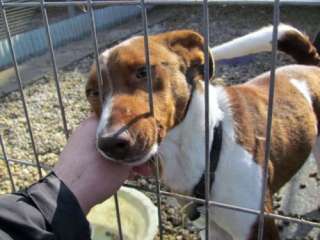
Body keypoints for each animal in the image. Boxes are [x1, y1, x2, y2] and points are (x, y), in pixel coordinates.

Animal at [85, 23, 320, 239]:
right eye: (93, 93)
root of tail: (308, 65)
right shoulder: (215, 231)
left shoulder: (258, 227)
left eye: (143, 72)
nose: (109, 143)